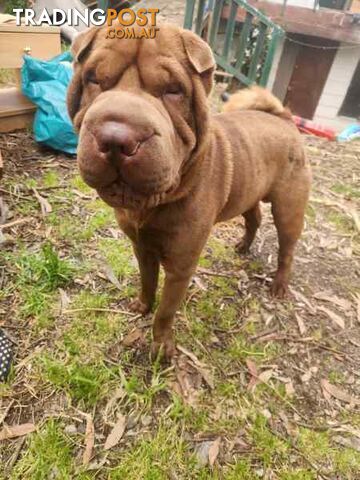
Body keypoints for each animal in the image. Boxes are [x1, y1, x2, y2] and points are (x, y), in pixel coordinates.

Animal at [67, 24, 312, 358]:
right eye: (93, 78)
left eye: (174, 90)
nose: (116, 137)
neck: (149, 206)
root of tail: (285, 120)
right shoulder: (142, 247)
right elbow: (146, 281)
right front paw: (142, 306)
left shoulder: (181, 265)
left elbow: (166, 311)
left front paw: (161, 347)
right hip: (249, 188)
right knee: (254, 218)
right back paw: (243, 246)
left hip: (289, 207)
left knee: (287, 248)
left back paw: (279, 286)